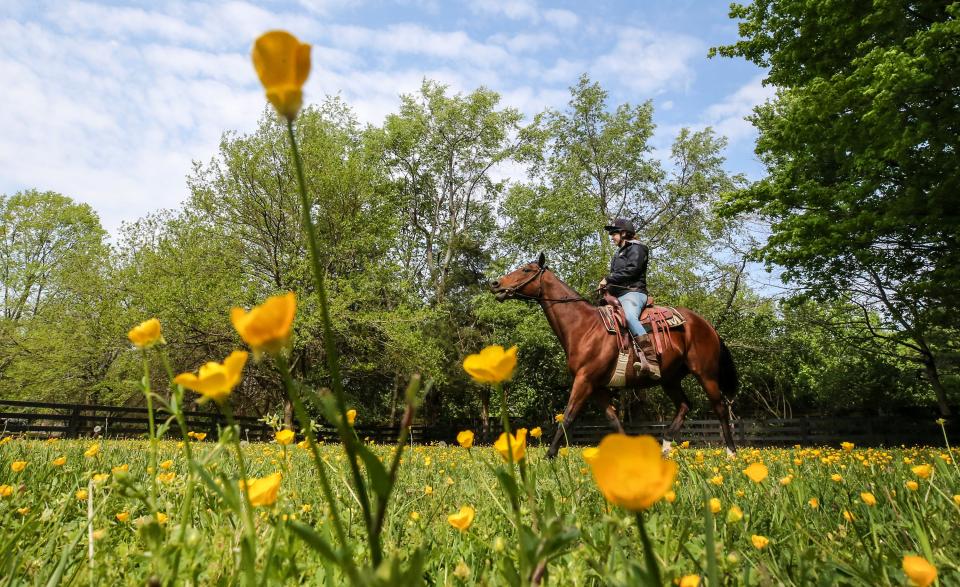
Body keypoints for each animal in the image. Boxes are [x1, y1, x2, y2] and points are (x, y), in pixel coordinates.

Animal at [492, 253, 740, 460]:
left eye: (526, 269)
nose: (495, 284)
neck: (584, 327)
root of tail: (706, 325)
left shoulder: (584, 381)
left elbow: (568, 417)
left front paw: (549, 456)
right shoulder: (598, 387)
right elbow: (614, 422)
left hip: (705, 374)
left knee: (719, 408)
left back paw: (731, 453)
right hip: (670, 379)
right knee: (684, 406)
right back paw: (666, 447)